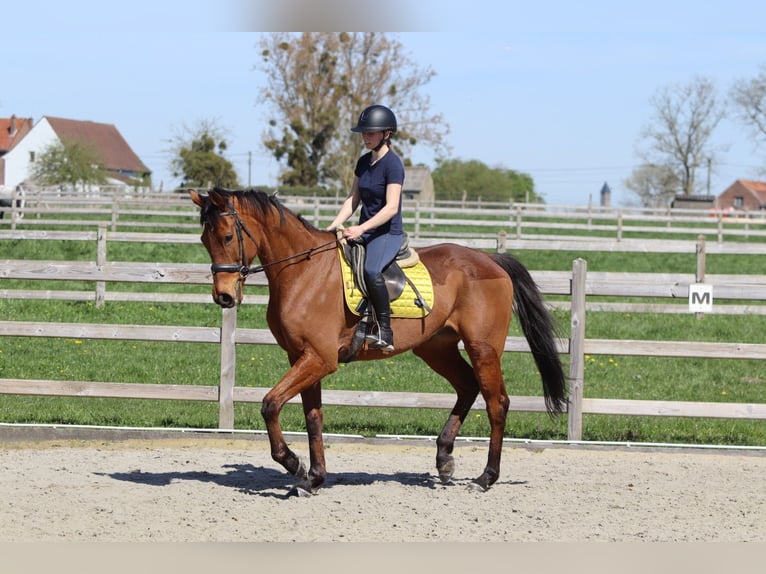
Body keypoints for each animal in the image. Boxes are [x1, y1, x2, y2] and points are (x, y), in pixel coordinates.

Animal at [190, 187, 567, 495]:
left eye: (227, 237)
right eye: (205, 241)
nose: (224, 297)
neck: (304, 273)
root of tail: (490, 259)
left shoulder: (319, 359)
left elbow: (270, 404)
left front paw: (294, 464)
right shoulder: (301, 357)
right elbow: (313, 418)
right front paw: (314, 478)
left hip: (483, 348)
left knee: (496, 402)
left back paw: (486, 477)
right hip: (436, 348)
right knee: (467, 387)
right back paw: (444, 459)